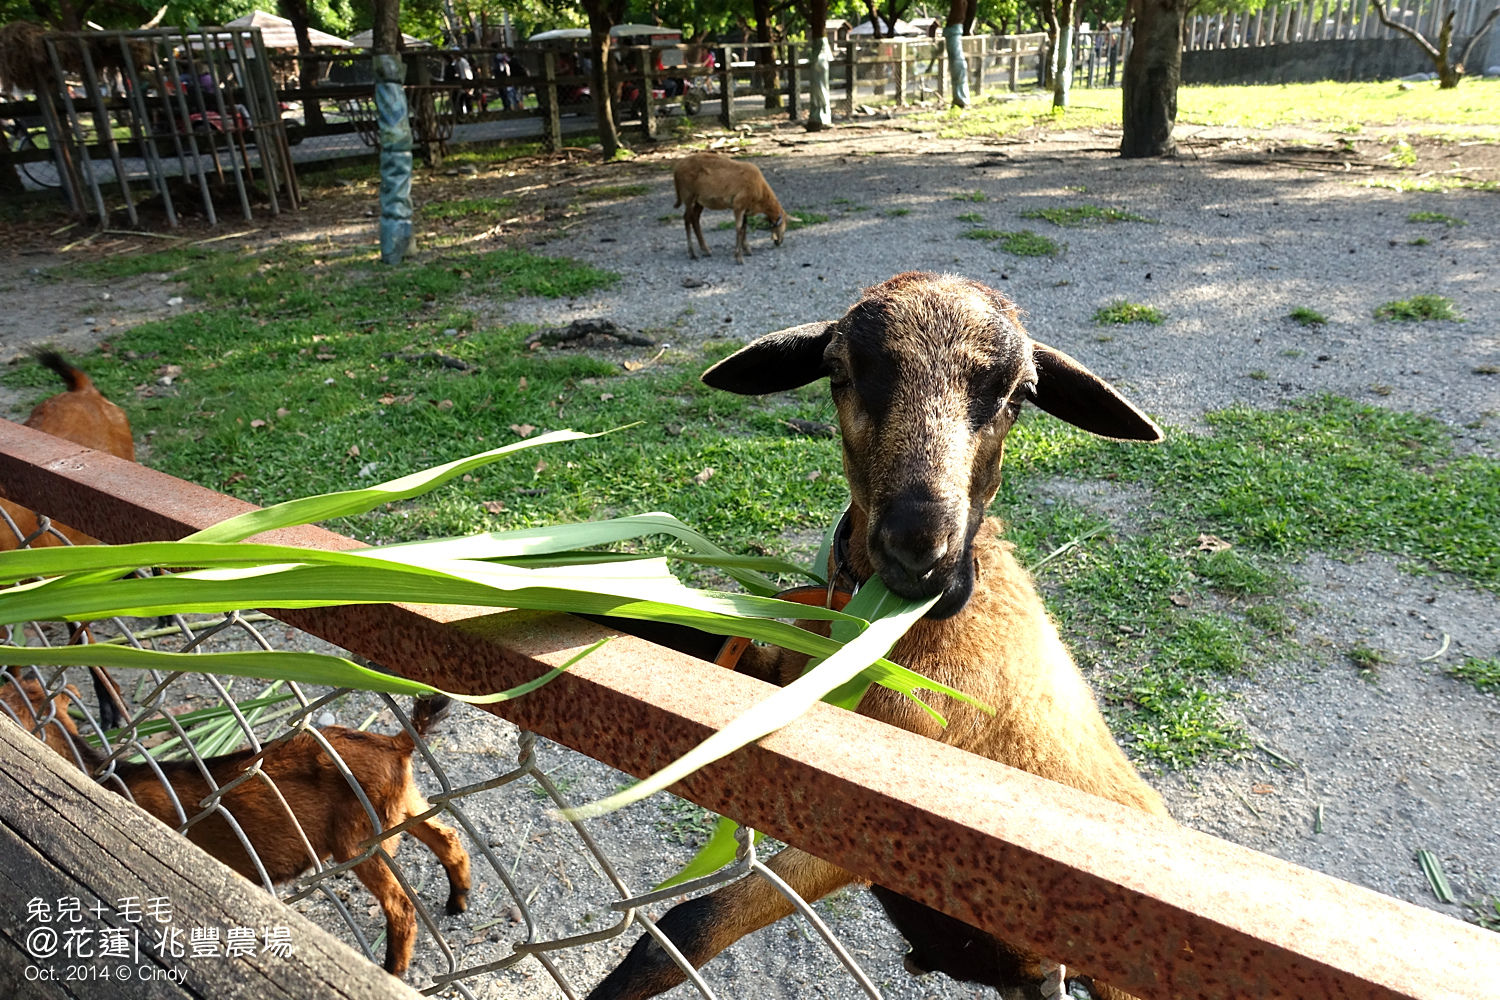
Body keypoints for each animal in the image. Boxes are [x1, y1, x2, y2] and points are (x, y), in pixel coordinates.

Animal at [0, 671, 468, 977]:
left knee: (401, 905)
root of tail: (396, 742)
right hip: (405, 805)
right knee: (448, 839)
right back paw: (458, 899)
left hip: (359, 841)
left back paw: (393, 970)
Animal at [591, 271, 1176, 1000]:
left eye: (1019, 394)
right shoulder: (778, 681)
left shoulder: (884, 820)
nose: (921, 555)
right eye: (840, 372)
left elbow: (689, 925)